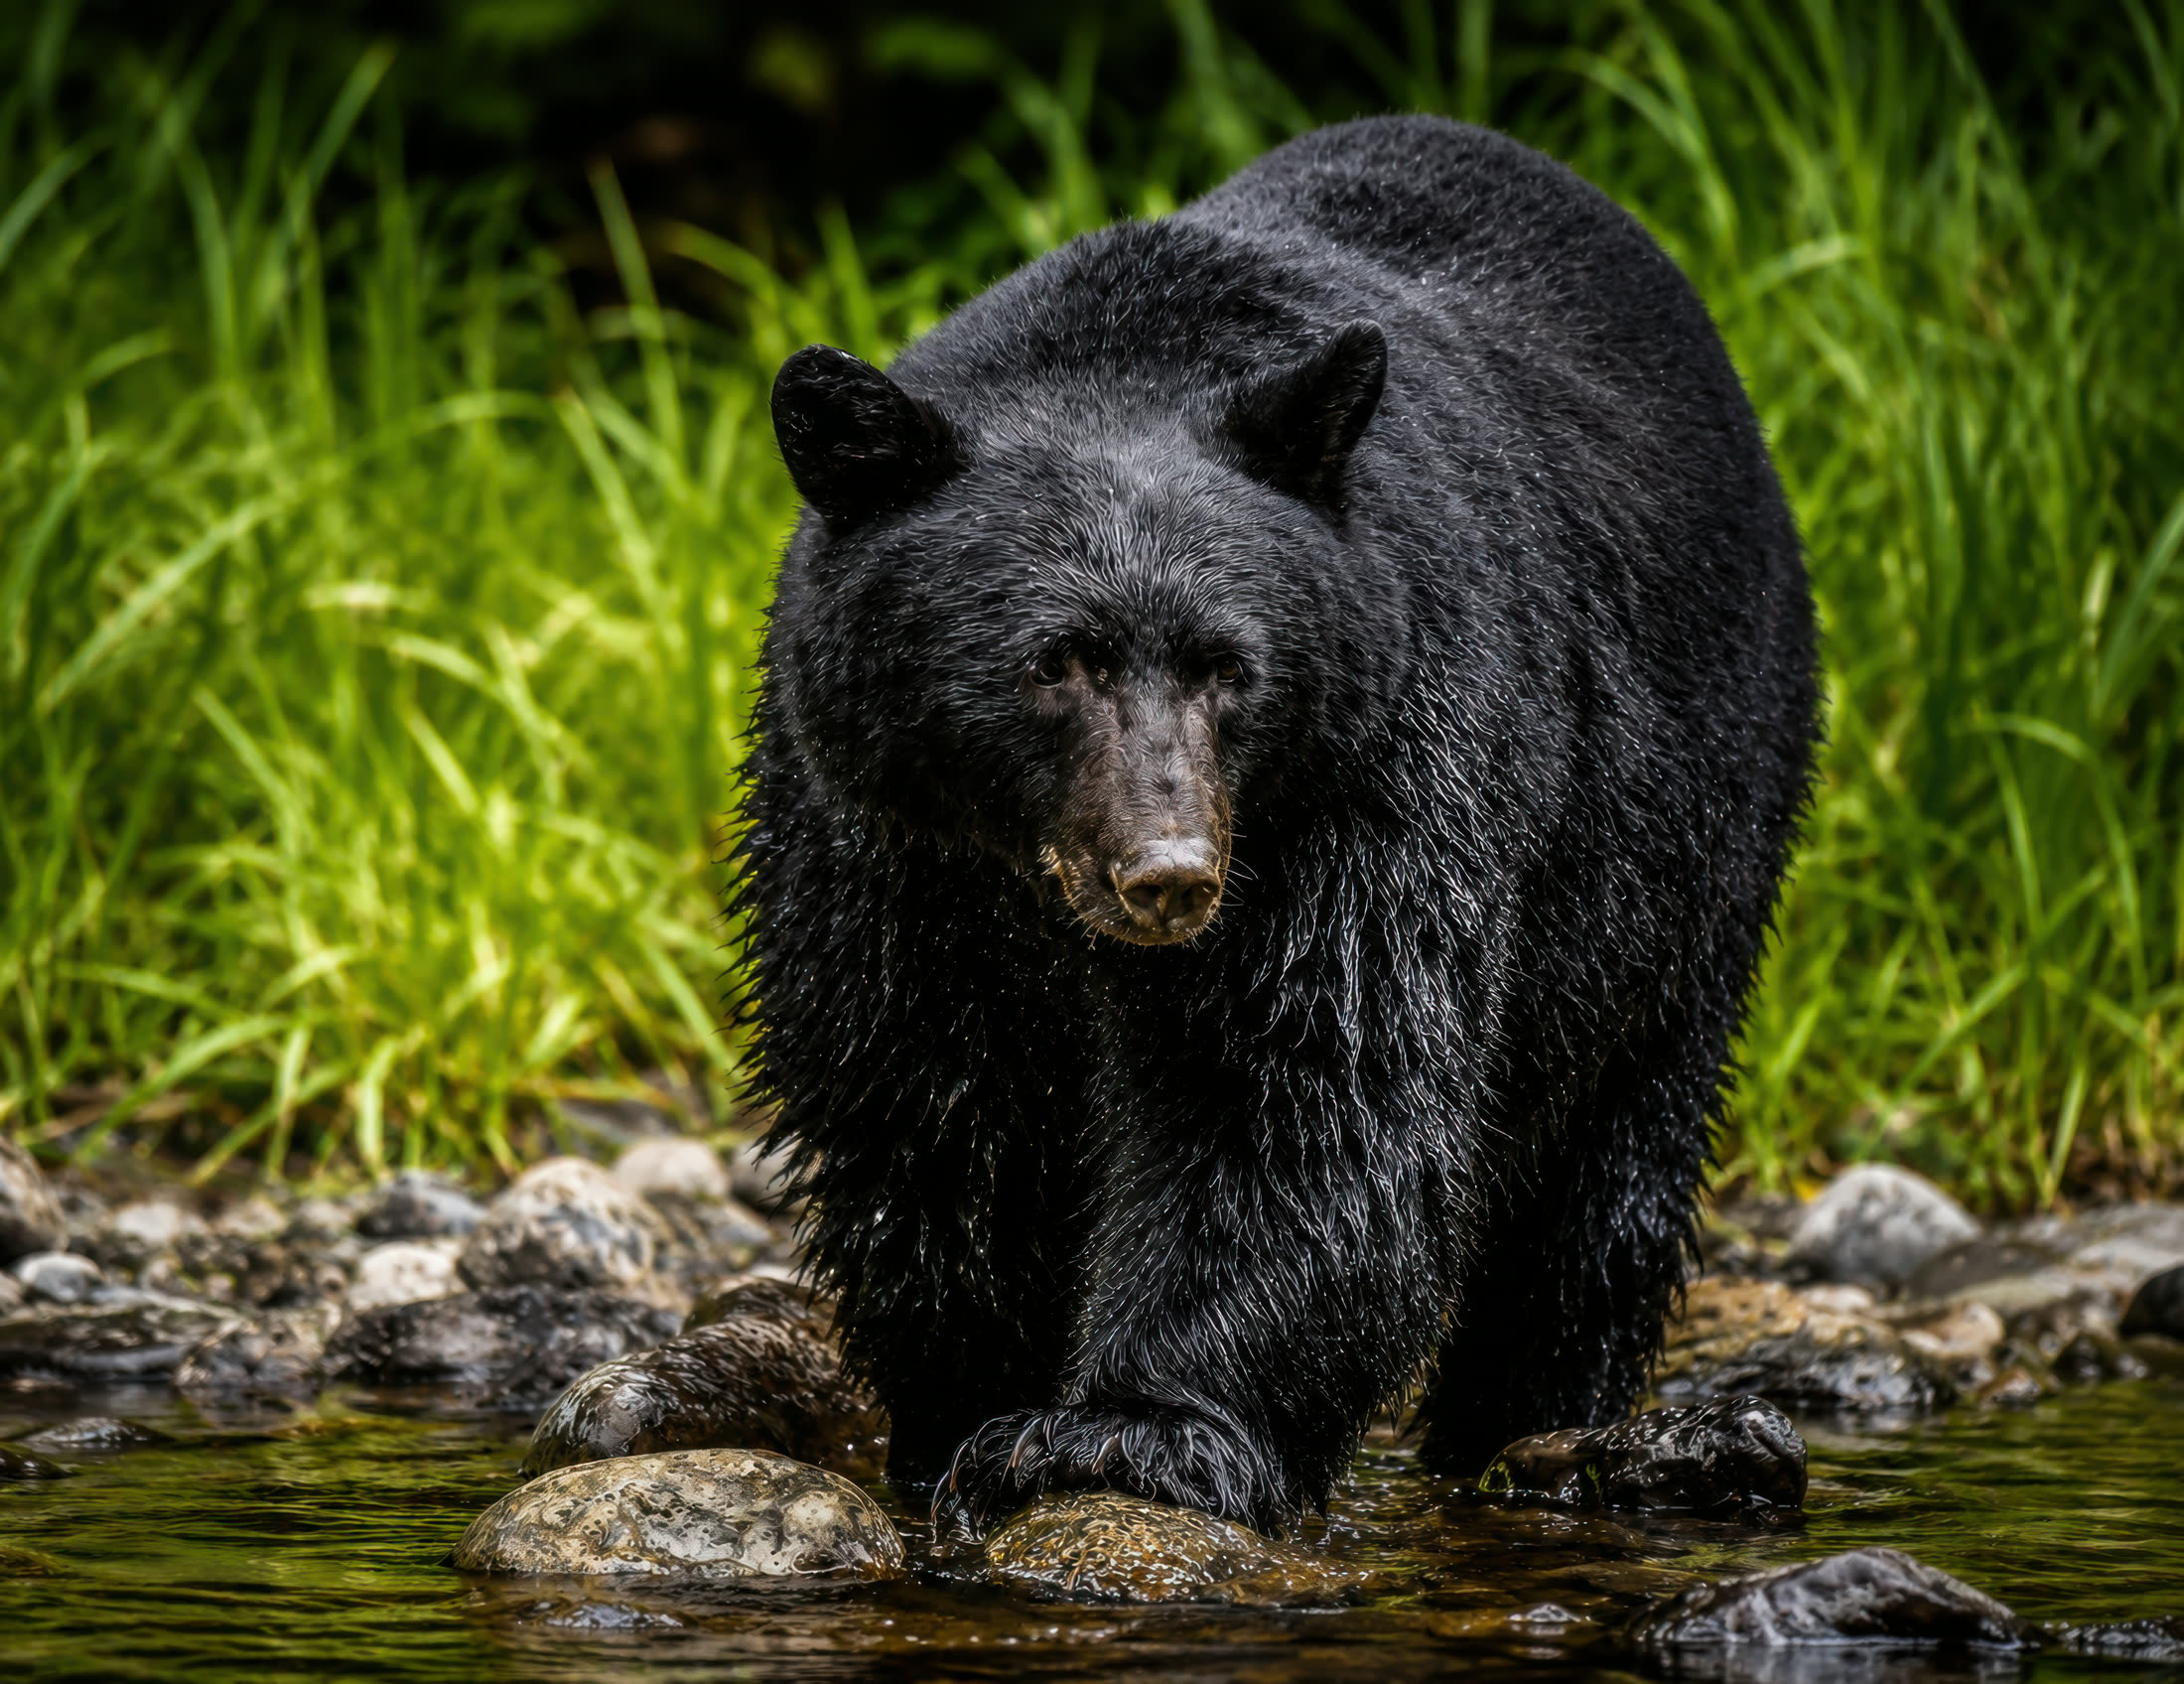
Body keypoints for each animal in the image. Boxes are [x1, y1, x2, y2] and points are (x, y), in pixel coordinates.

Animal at [738, 115, 1819, 1538]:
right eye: (1053, 662)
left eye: (1227, 666)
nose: (1170, 874)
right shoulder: (871, 842)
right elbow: (919, 1101)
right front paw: (962, 1411)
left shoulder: (1367, 778)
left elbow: (1299, 1078)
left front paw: (1124, 1432)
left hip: (1690, 826)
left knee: (1607, 1164)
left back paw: (1532, 1422)